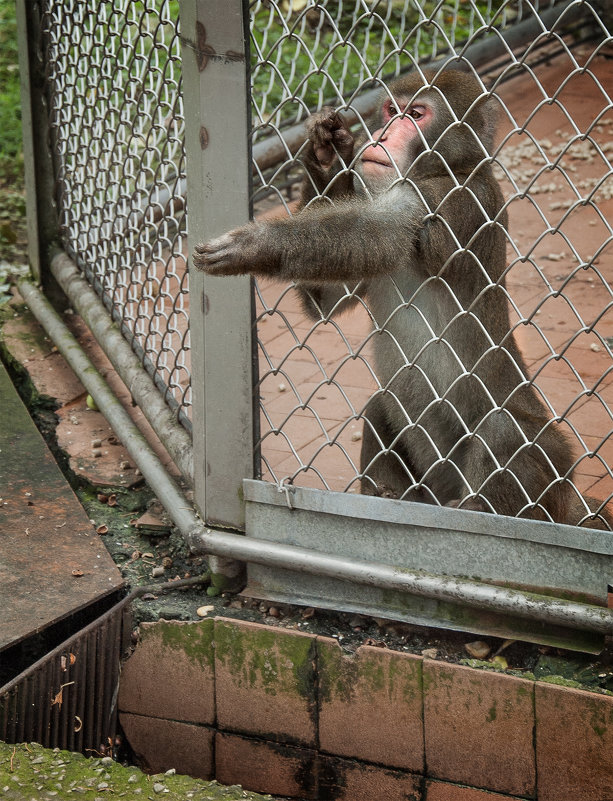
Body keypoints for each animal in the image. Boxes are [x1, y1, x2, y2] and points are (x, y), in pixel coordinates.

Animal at [192, 70, 612, 532]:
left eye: (416, 115)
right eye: (392, 110)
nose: (383, 134)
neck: (450, 167)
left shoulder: (455, 200)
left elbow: (380, 230)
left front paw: (256, 243)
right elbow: (326, 300)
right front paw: (326, 156)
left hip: (551, 480)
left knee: (505, 427)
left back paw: (476, 510)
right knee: (381, 405)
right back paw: (392, 497)